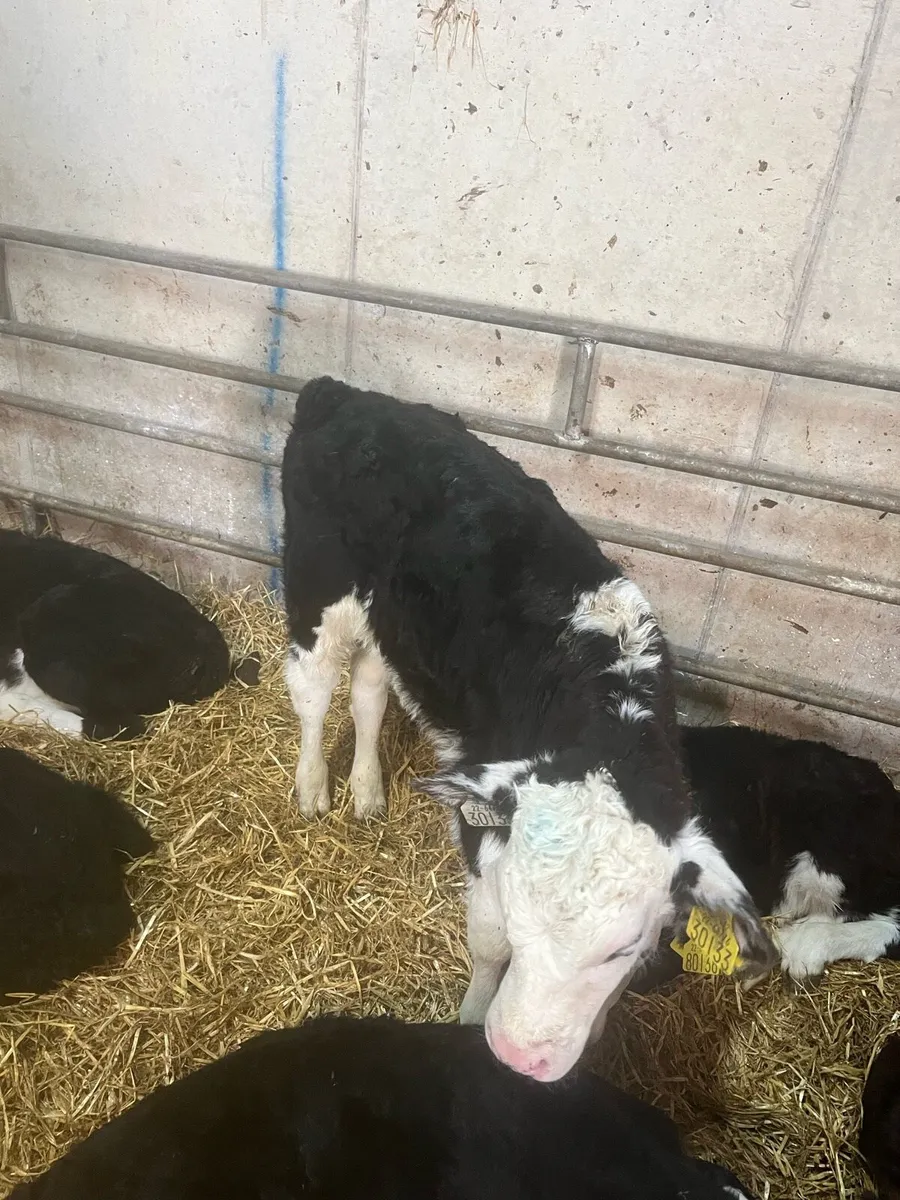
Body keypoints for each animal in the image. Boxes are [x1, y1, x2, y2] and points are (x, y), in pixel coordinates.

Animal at [281, 378, 776, 1082]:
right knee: (314, 691)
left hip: (392, 626)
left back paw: (369, 792)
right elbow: (488, 948)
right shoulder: (482, 830)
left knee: (370, 693)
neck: (605, 704)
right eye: (518, 915)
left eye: (622, 949)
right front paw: (467, 1021)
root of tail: (342, 394)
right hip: (318, 586)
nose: (519, 1055)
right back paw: (313, 789)